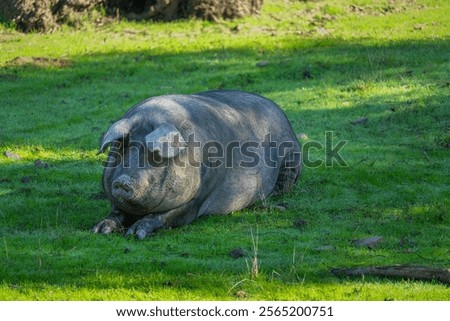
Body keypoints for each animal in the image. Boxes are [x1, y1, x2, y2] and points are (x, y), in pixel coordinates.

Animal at [92, 89, 300, 238]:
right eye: (122, 148)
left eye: (155, 156)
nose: (122, 181)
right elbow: (116, 212)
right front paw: (99, 229)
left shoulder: (199, 196)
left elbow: (166, 215)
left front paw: (135, 234)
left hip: (291, 159)